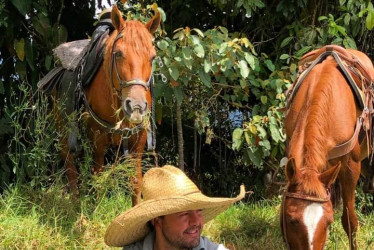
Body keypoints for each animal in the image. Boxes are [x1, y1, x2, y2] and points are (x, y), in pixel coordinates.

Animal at [54, 5, 160, 205]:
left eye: (152, 57)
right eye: (118, 54)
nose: (136, 106)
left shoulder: (138, 141)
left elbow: (135, 182)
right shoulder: (98, 141)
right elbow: (98, 181)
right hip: (64, 128)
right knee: (70, 164)